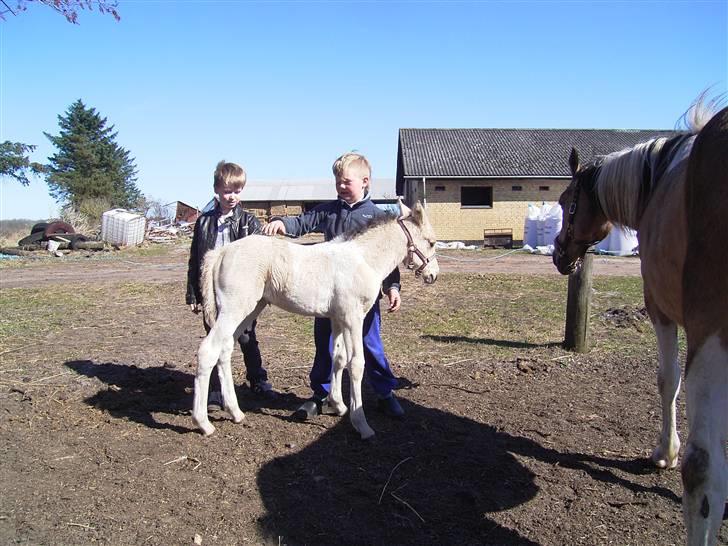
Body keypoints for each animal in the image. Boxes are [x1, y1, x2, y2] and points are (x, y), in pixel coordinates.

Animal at [556, 99, 724, 544]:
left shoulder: (660, 307)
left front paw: (665, 452)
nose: (558, 253)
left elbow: (668, 380)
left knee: (703, 469)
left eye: (565, 202)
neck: (659, 176)